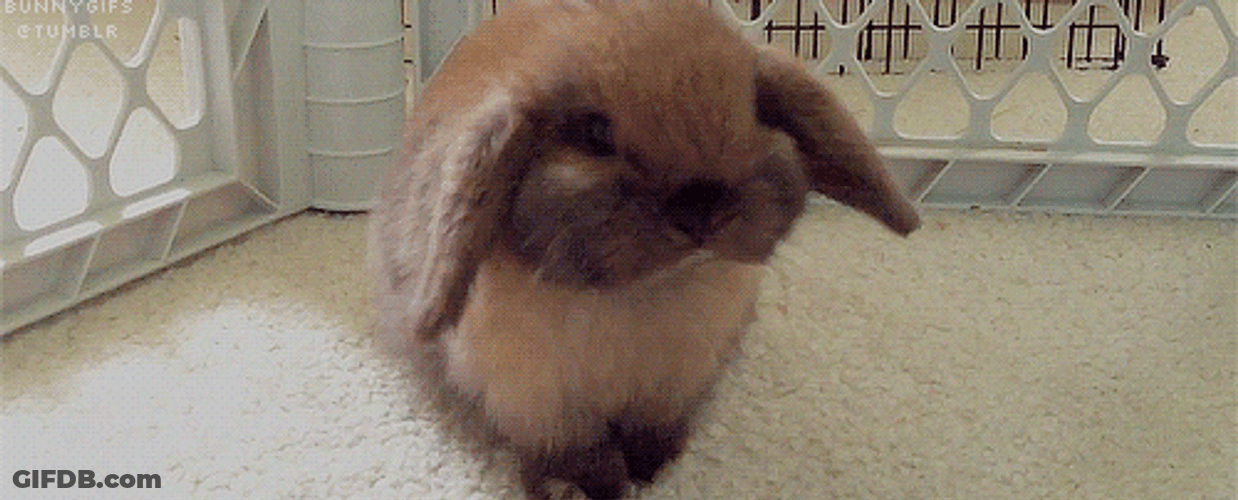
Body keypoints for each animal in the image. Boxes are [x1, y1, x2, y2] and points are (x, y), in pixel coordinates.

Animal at [370, 0, 920, 498]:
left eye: (752, 108)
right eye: (594, 134)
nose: (701, 208)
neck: (641, 296)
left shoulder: (675, 384)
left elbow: (653, 432)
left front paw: (654, 468)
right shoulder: (537, 400)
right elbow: (577, 452)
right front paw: (588, 487)